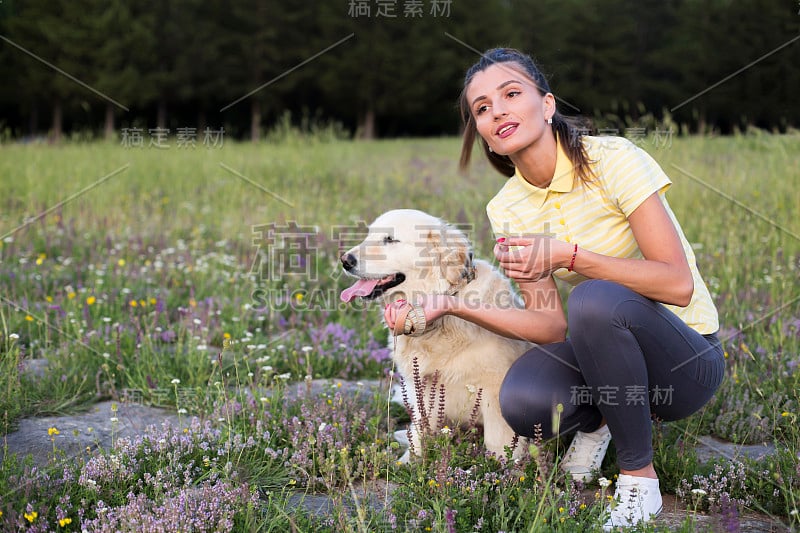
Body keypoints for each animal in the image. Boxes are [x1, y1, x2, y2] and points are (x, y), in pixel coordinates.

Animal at [338, 209, 532, 462]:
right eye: (369, 235)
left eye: (390, 239)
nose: (345, 260)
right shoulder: (423, 386)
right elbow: (419, 430)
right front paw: (409, 462)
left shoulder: (495, 390)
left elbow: (498, 441)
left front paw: (503, 465)